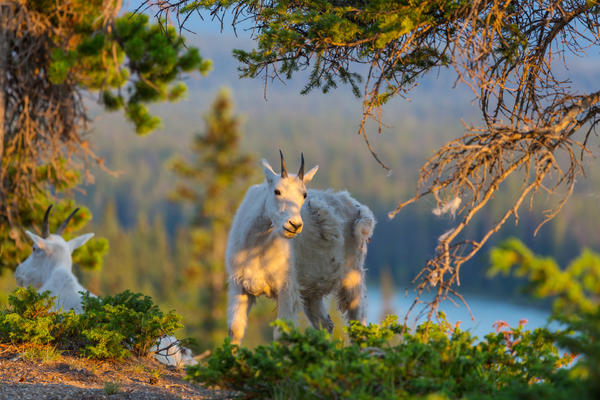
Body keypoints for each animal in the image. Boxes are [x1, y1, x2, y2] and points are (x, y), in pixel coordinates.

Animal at [226, 151, 376, 344]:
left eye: (304, 195)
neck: (256, 246)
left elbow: (281, 335)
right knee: (326, 324)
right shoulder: (239, 285)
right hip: (312, 292)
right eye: (277, 191)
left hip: (353, 275)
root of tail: (360, 210)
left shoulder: (286, 288)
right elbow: (235, 330)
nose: (294, 225)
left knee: (359, 325)